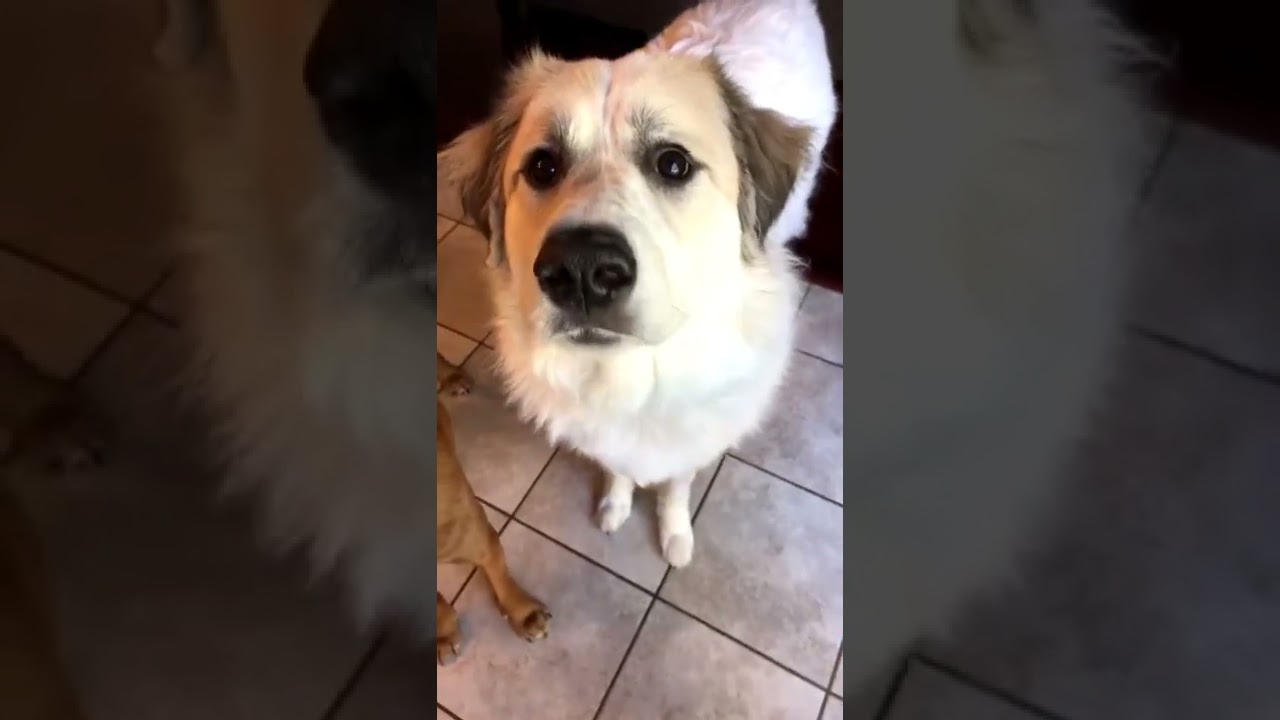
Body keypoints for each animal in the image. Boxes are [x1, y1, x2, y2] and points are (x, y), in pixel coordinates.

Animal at [156, 0, 550, 652]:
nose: (404, 68)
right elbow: (434, 602)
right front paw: (444, 628)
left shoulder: (473, 526)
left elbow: (497, 562)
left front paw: (520, 609)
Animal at [439, 0, 838, 569]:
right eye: (542, 166)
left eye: (673, 164)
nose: (581, 270)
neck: (632, 370)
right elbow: (618, 467)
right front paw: (615, 504)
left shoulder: (693, 437)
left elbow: (674, 486)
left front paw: (674, 534)